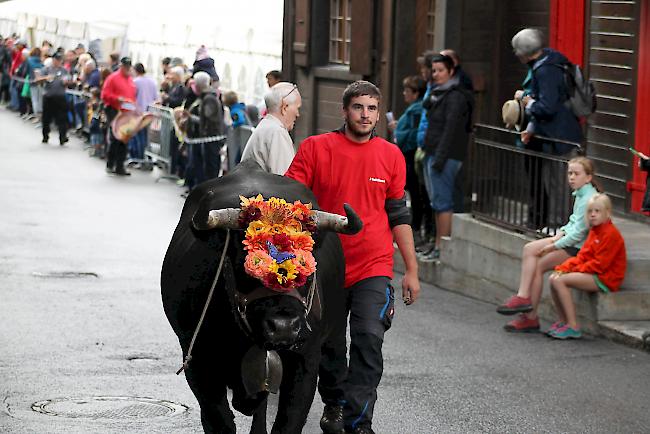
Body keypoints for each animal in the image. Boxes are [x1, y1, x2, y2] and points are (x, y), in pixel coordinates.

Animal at [160, 161, 362, 432]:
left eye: (305, 260)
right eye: (244, 258)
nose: (284, 327)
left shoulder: (305, 361)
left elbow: (288, 421)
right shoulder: (198, 362)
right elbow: (219, 420)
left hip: (336, 328)